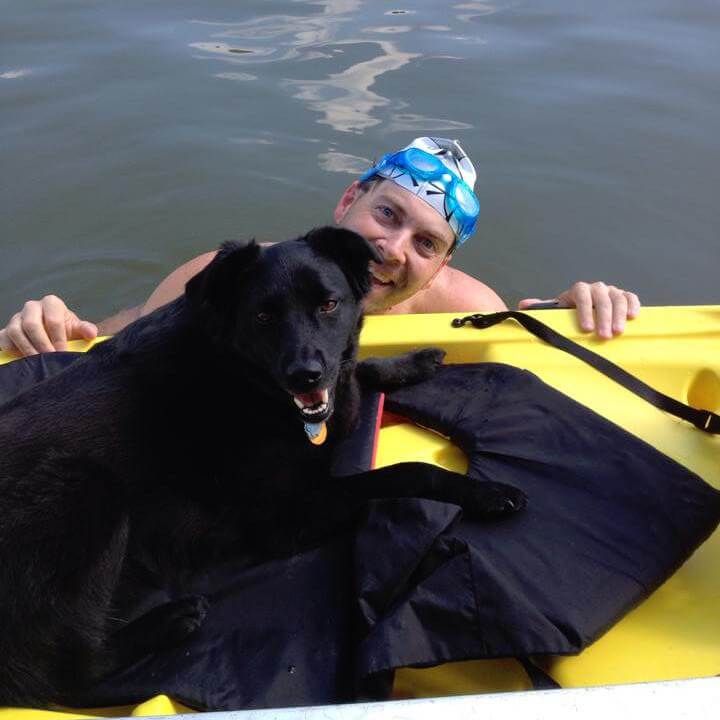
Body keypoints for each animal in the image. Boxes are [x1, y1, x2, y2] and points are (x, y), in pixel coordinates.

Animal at [0, 228, 524, 704]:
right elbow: (406, 471)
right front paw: (486, 492)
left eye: (329, 305)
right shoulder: (285, 520)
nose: (305, 376)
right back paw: (171, 620)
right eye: (263, 315)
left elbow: (356, 374)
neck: (241, 374)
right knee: (69, 671)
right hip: (87, 489)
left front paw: (411, 362)